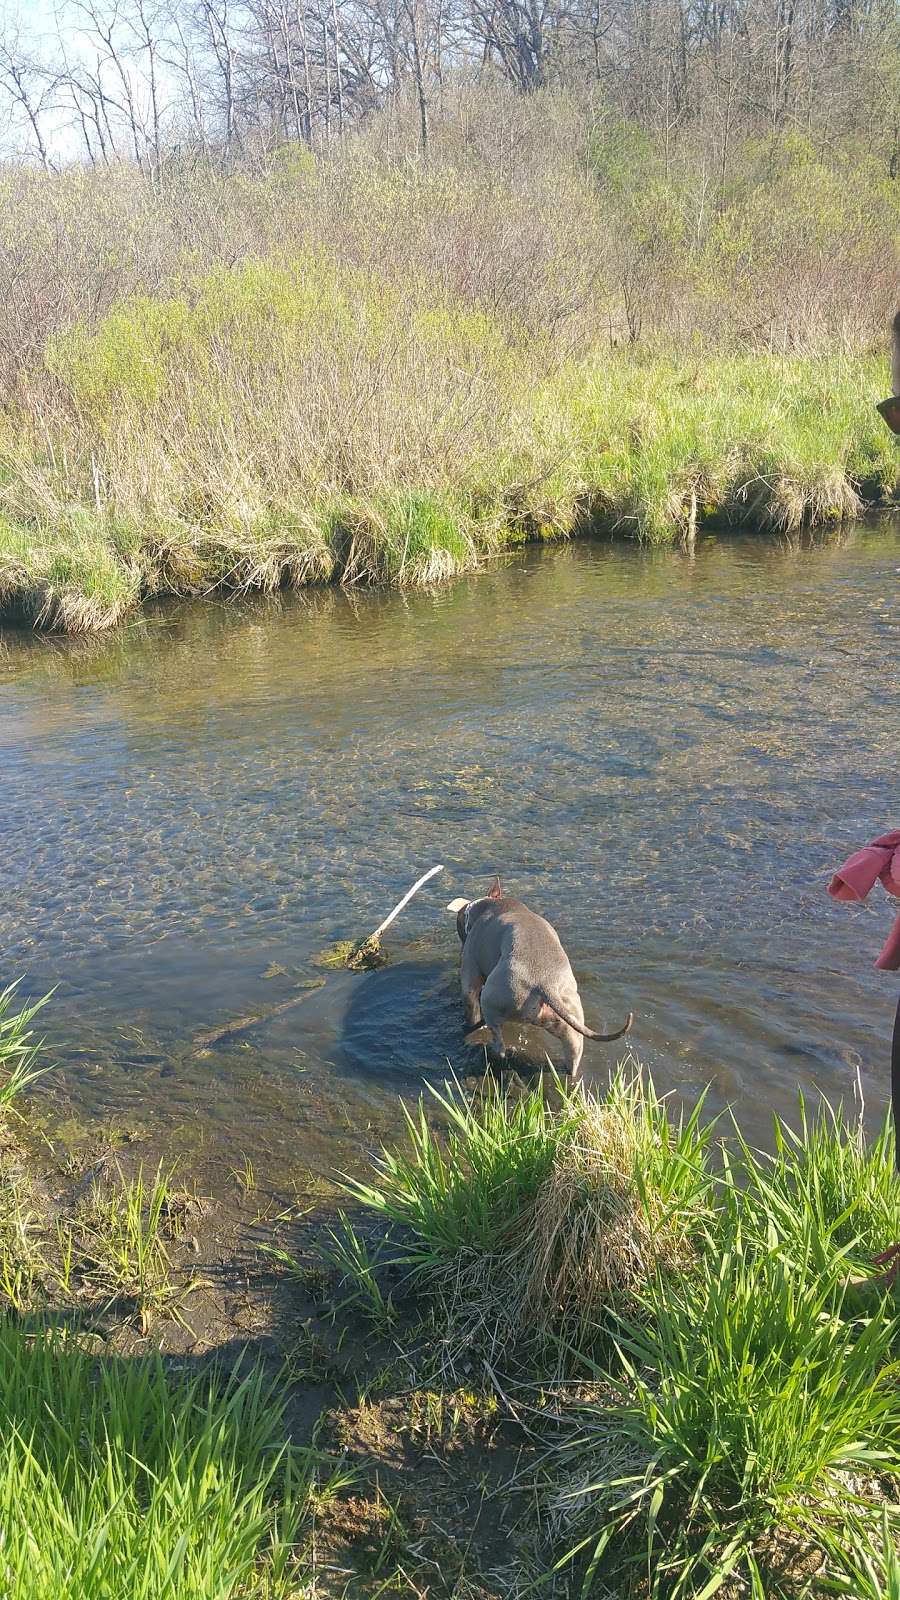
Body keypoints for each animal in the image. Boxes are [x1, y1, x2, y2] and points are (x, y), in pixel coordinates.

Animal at [441, 883, 630, 1081]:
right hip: (568, 1019)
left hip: (491, 1000)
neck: (489, 904)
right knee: (573, 1049)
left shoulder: (470, 978)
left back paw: (492, 1053)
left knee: (499, 1043)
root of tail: (544, 982)